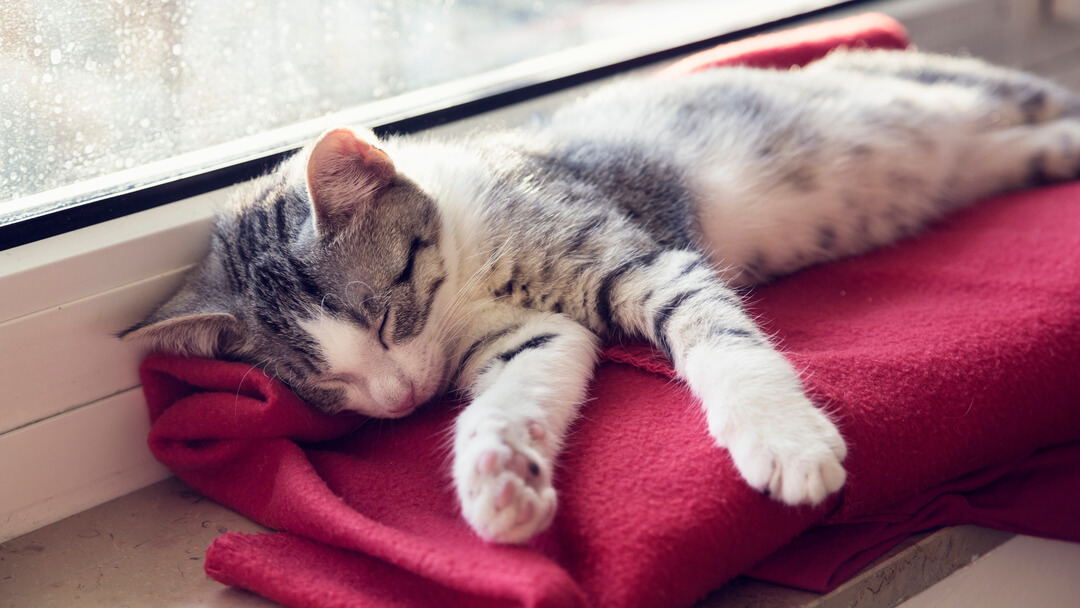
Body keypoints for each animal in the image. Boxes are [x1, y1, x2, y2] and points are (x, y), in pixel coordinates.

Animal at [120, 49, 1080, 544]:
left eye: (387, 317)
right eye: (324, 384)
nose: (396, 403)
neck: (467, 276)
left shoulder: (640, 256)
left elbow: (722, 343)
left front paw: (784, 441)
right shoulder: (531, 338)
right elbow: (525, 380)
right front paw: (500, 481)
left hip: (969, 87)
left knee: (1037, 95)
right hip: (995, 155)